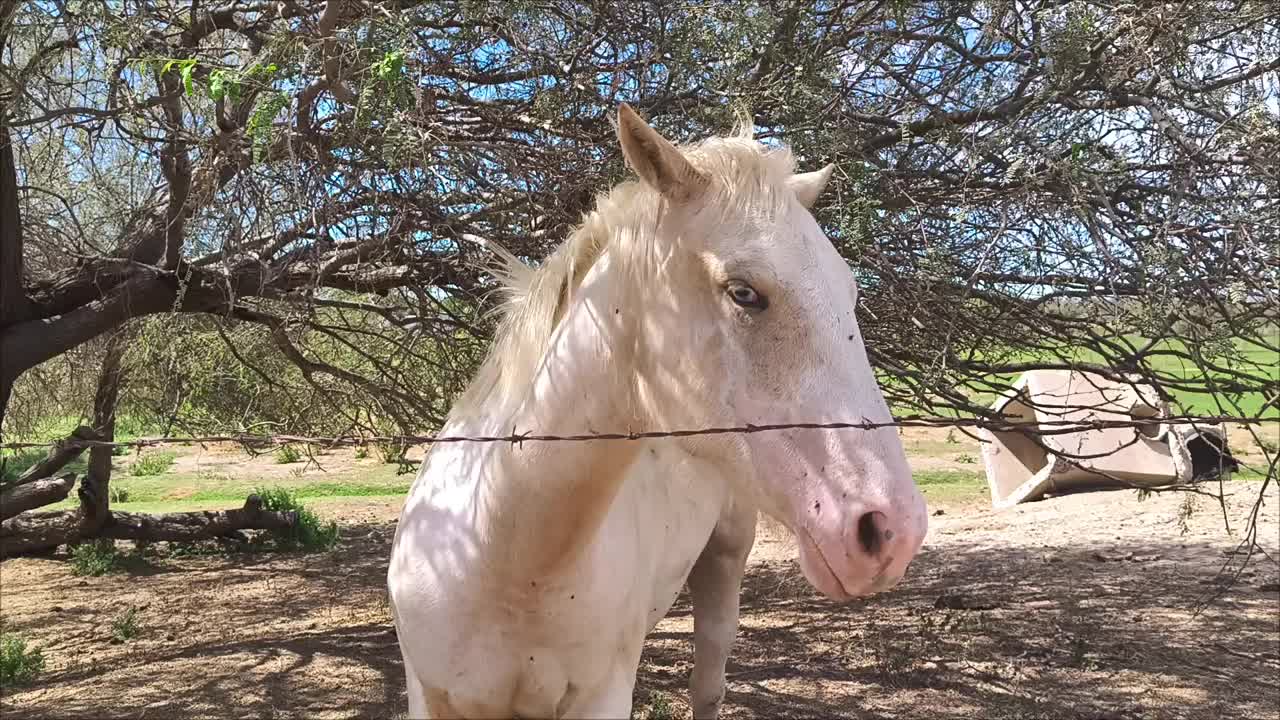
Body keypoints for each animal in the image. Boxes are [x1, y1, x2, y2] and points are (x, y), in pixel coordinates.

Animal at [384, 103, 926, 712]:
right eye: (743, 292)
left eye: (850, 294)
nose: (890, 532)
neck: (502, 559)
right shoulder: (430, 696)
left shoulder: (603, 696)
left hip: (725, 566)